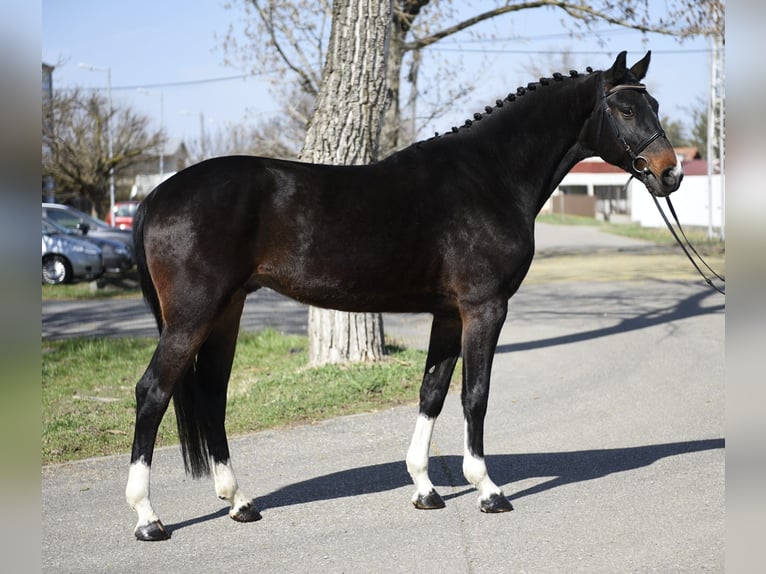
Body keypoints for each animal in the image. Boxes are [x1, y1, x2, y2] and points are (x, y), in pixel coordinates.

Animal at [126, 51, 682, 540]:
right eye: (626, 109)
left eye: (655, 104)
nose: (670, 172)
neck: (490, 176)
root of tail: (155, 197)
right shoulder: (484, 308)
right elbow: (475, 395)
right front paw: (488, 490)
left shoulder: (449, 314)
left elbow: (432, 391)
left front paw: (425, 489)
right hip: (193, 316)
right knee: (153, 393)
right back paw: (148, 519)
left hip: (227, 312)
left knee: (212, 395)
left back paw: (239, 502)